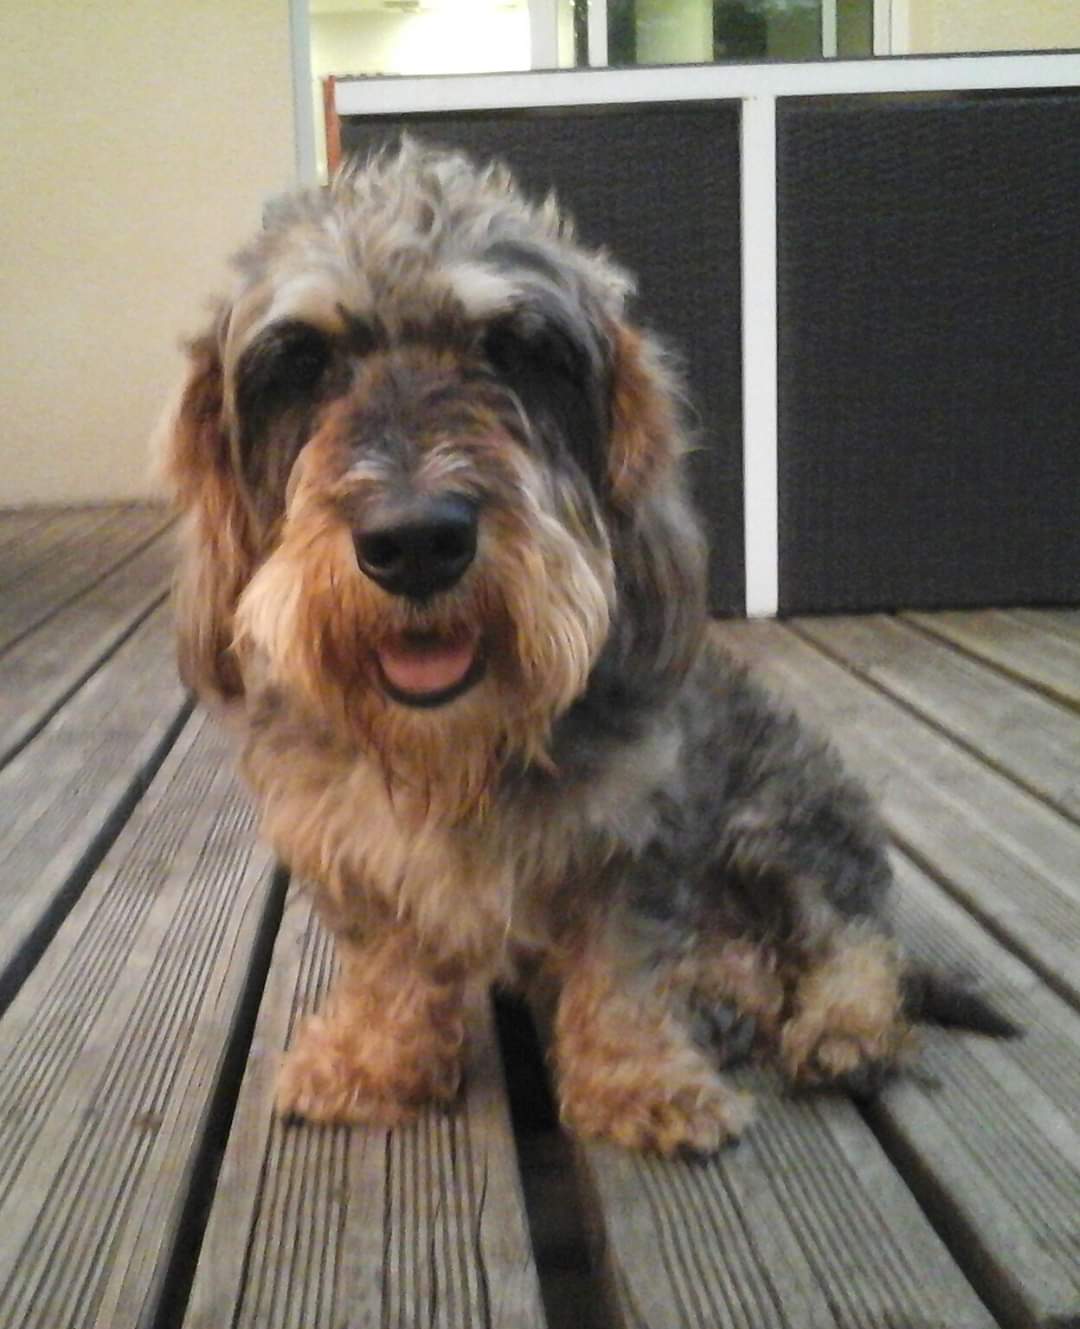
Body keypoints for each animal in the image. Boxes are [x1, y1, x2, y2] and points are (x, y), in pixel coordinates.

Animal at [157, 138, 1013, 1154]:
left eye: (516, 352)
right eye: (302, 362)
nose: (416, 541)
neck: (461, 751)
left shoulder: (634, 833)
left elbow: (624, 966)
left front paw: (641, 1077)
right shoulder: (351, 848)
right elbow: (391, 958)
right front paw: (375, 1056)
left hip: (784, 822)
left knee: (851, 942)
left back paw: (842, 1029)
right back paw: (728, 996)